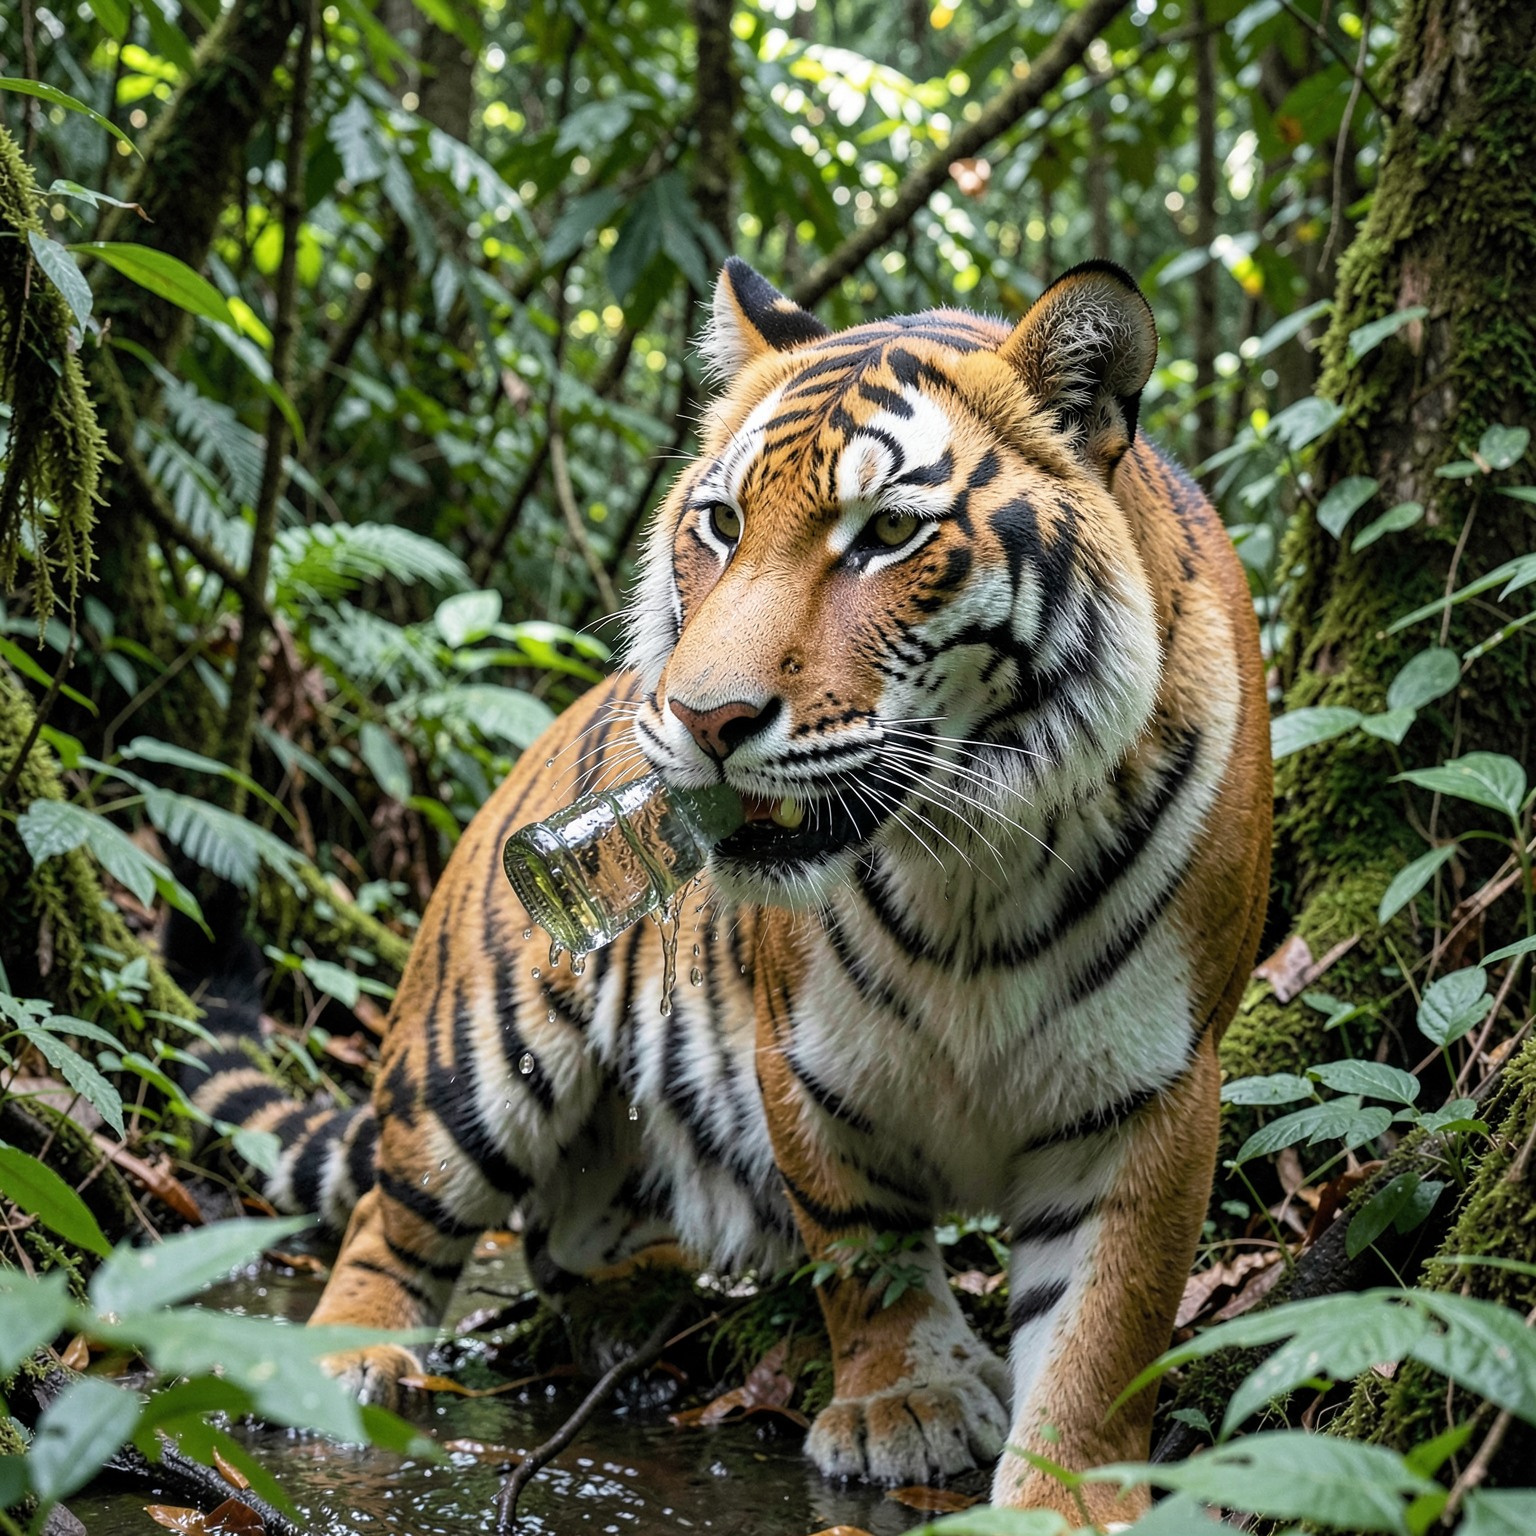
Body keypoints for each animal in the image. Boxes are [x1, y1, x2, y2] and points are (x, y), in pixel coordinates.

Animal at [192, 257, 1271, 1522]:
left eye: (888, 534)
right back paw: (348, 1358)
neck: (967, 859)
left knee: (559, 1236)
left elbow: (1110, 1322)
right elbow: (863, 1249)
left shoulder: (1150, 1088)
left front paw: (1070, 1497)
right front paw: (903, 1403)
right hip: (480, 1051)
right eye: (722, 523)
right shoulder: (801, 1059)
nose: (705, 720)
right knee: (391, 1212)